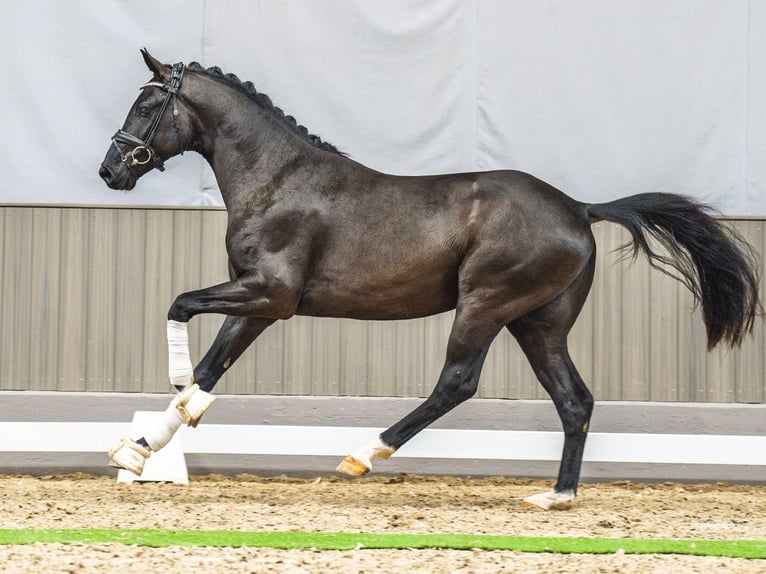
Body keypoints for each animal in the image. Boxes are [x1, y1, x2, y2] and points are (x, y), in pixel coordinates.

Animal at [97, 51, 760, 510]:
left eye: (147, 106)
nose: (110, 170)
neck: (277, 179)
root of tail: (578, 208)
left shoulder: (272, 294)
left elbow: (180, 307)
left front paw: (172, 395)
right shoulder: (258, 301)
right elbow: (213, 368)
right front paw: (139, 450)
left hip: (486, 306)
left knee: (457, 383)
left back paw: (363, 455)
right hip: (538, 323)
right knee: (574, 400)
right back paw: (556, 496)